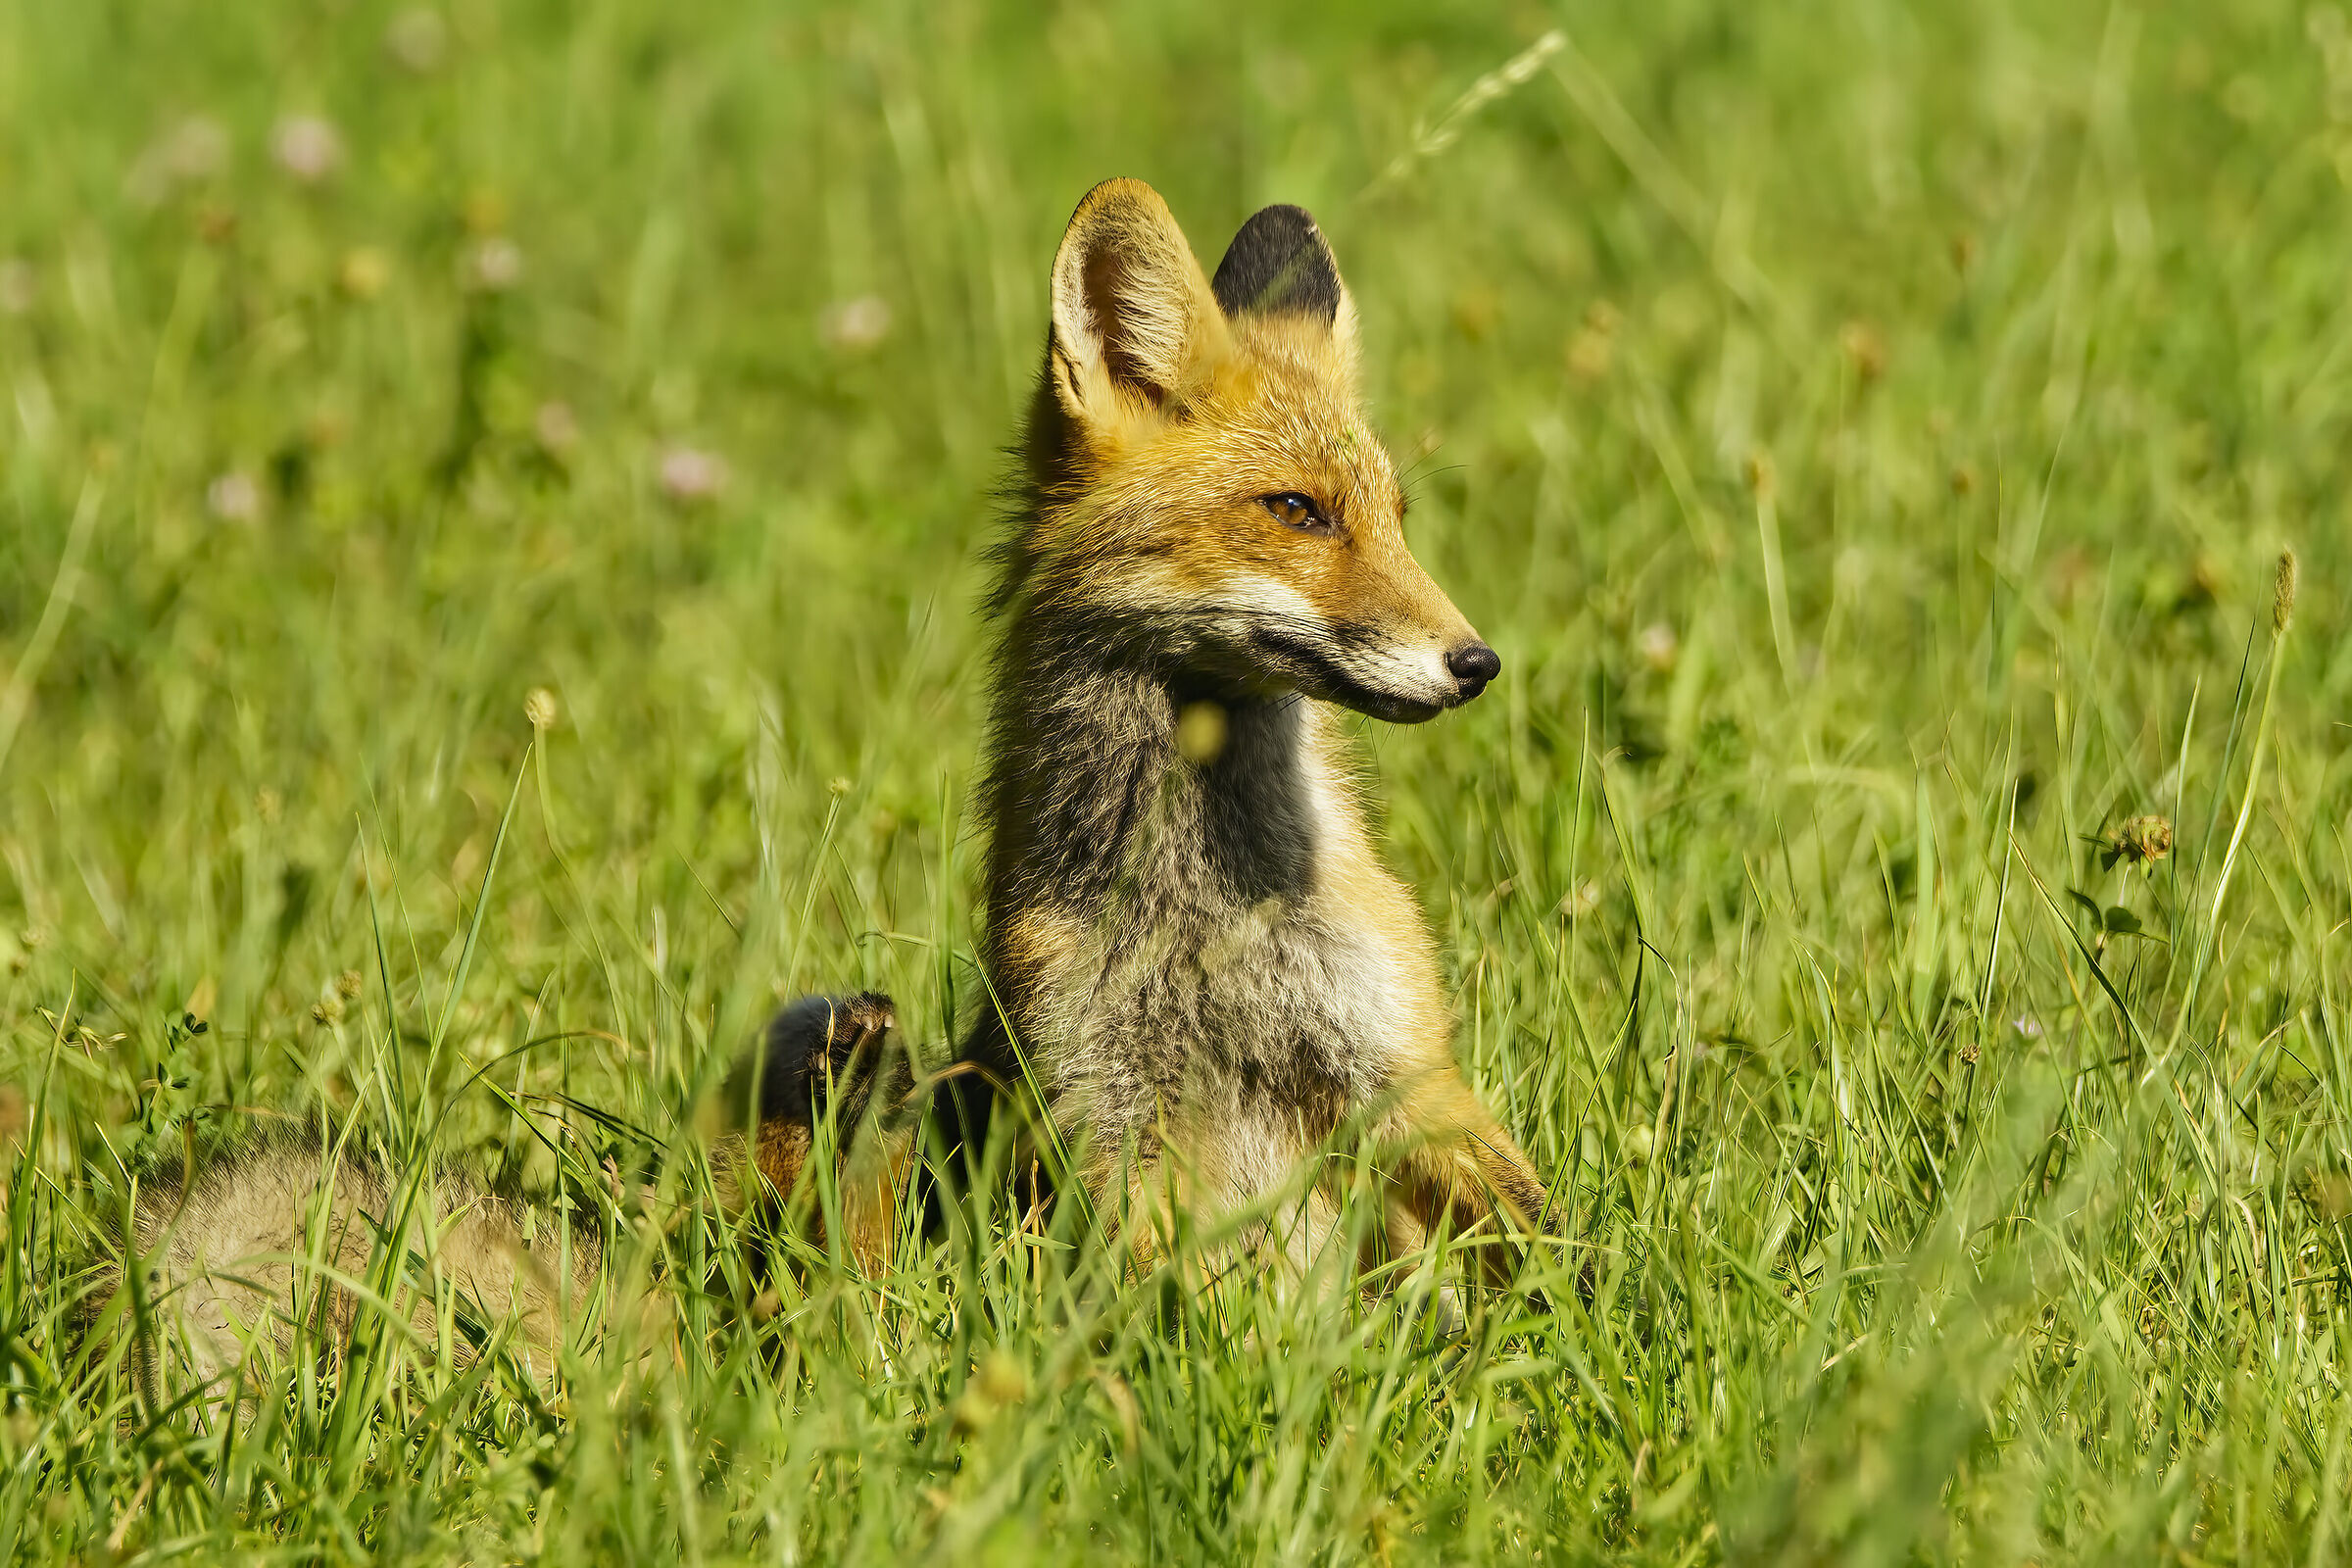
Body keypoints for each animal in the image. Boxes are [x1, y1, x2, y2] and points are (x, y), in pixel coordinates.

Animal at [100, 178, 1556, 1389]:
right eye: (1298, 512)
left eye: (1397, 518)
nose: (1476, 660)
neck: (1208, 919)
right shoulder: (1111, 1121)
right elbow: (1182, 1308)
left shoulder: (1400, 1073)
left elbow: (1539, 1239)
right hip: (849, 1070)